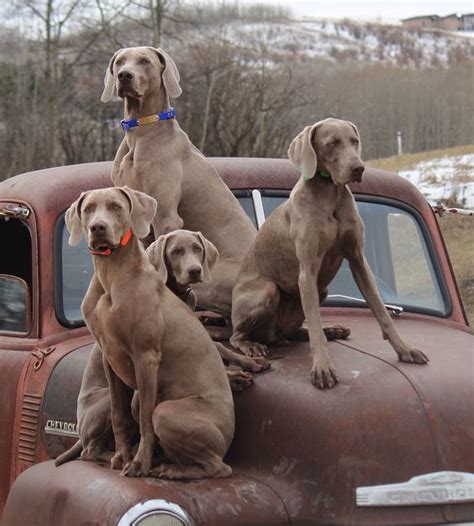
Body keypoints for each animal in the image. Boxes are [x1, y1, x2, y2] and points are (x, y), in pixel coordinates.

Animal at [65, 188, 235, 480]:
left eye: (116, 206)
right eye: (88, 209)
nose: (98, 227)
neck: (111, 276)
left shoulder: (146, 357)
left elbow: (145, 417)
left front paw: (138, 464)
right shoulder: (110, 358)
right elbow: (118, 413)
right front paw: (122, 457)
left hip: (167, 411)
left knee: (219, 467)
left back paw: (168, 470)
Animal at [100, 46, 256, 318]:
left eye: (144, 61)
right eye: (119, 62)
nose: (124, 76)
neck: (141, 132)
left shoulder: (166, 216)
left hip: (209, 279)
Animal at [230, 120, 430, 392]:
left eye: (354, 141)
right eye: (332, 143)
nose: (358, 168)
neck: (329, 192)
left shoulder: (358, 261)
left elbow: (381, 311)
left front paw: (405, 349)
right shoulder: (307, 272)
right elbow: (315, 324)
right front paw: (323, 369)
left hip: (321, 291)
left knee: (293, 331)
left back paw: (332, 330)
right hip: (266, 290)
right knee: (237, 335)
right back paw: (252, 345)